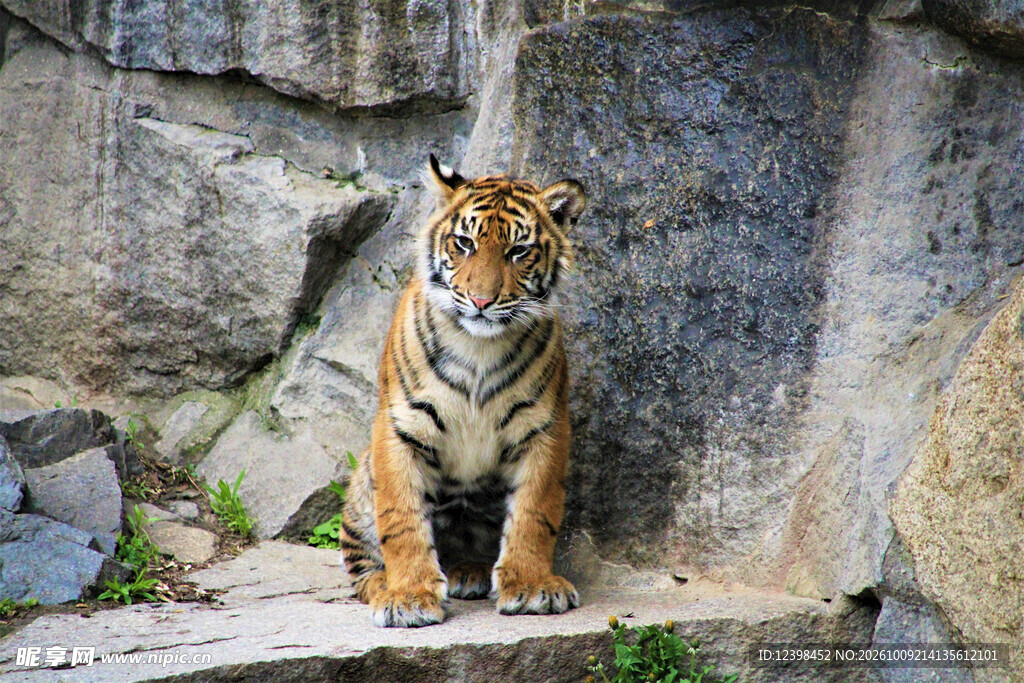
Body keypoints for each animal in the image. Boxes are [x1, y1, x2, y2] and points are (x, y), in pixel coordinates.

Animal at [339, 154, 586, 628]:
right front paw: (408, 596)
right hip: (361, 482)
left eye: (518, 251)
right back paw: (383, 585)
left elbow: (535, 512)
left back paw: (468, 571)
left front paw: (531, 586)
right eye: (465, 243)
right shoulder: (399, 427)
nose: (481, 301)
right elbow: (400, 518)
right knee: (361, 567)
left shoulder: (544, 429)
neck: (479, 346)